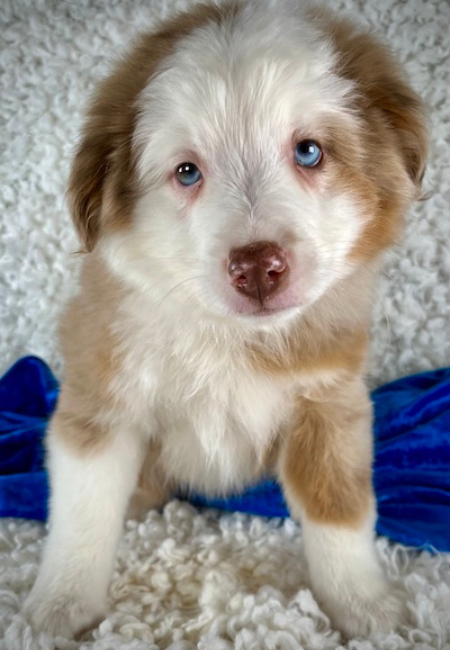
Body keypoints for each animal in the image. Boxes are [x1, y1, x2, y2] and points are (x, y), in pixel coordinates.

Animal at [22, 0, 428, 636]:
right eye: (188, 172)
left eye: (309, 151)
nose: (258, 267)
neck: (226, 337)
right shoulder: (103, 399)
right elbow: (82, 515)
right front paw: (57, 608)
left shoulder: (330, 405)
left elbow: (340, 509)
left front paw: (364, 605)